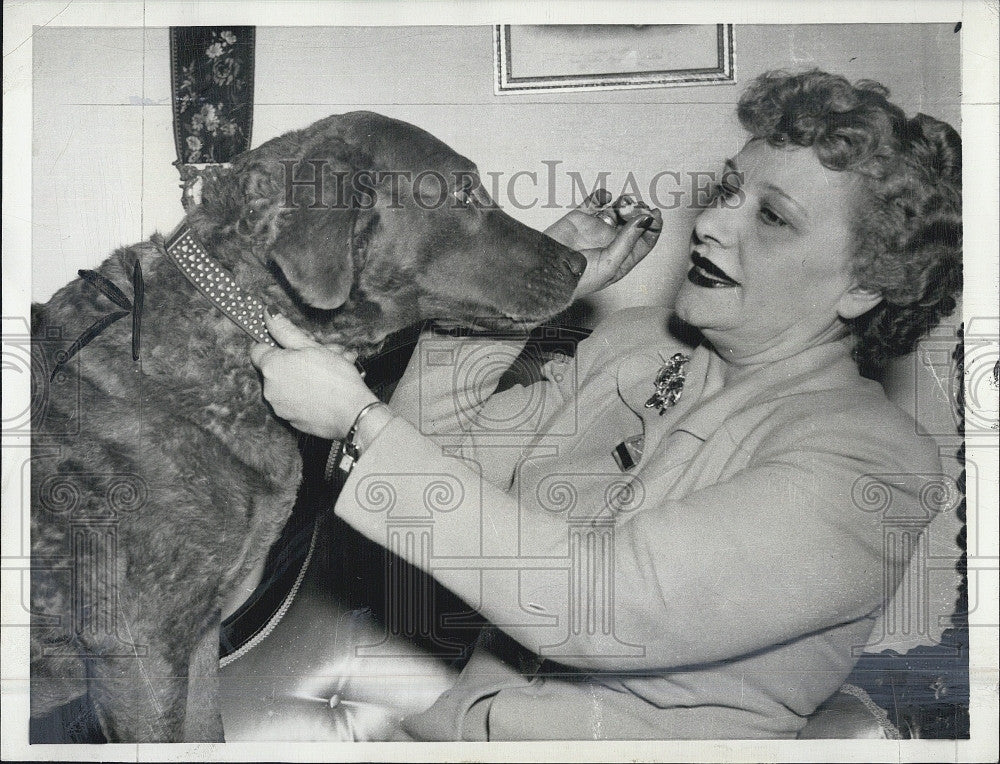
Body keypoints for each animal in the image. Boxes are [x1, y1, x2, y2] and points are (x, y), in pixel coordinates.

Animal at [29, 110, 584, 744]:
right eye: (466, 192)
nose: (581, 262)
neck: (235, 322)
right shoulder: (140, 645)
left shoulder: (198, 637)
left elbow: (207, 731)